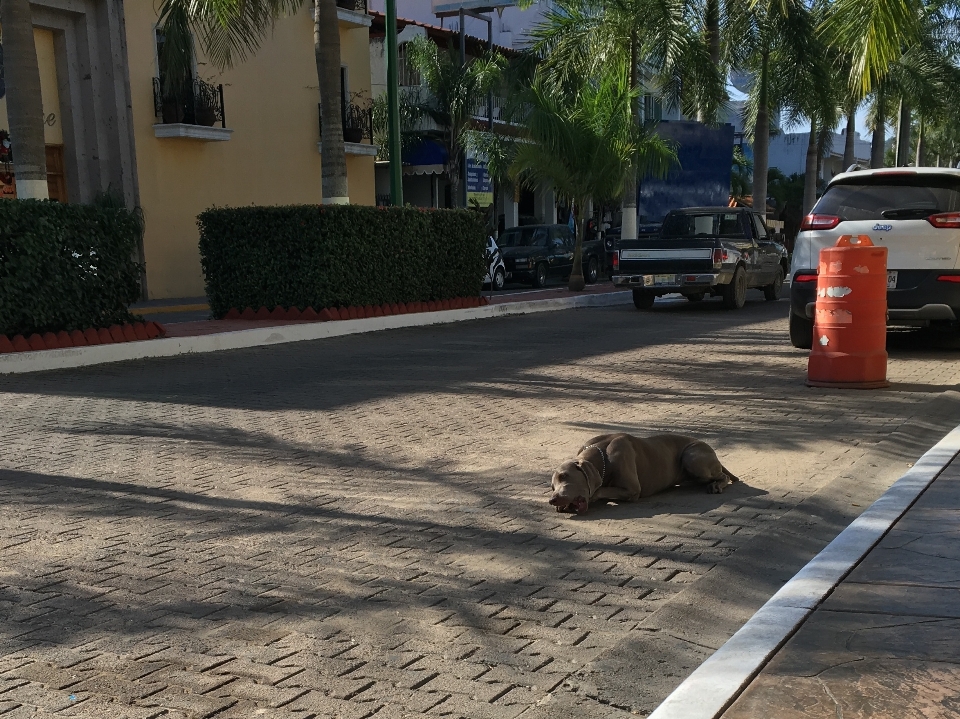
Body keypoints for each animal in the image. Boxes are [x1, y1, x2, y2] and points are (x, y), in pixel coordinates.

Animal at [548, 430, 744, 516]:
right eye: (552, 487)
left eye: (565, 476)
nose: (552, 500)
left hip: (692, 458)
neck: (603, 456)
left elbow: (600, 490)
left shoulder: (632, 489)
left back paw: (716, 485)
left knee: (723, 476)